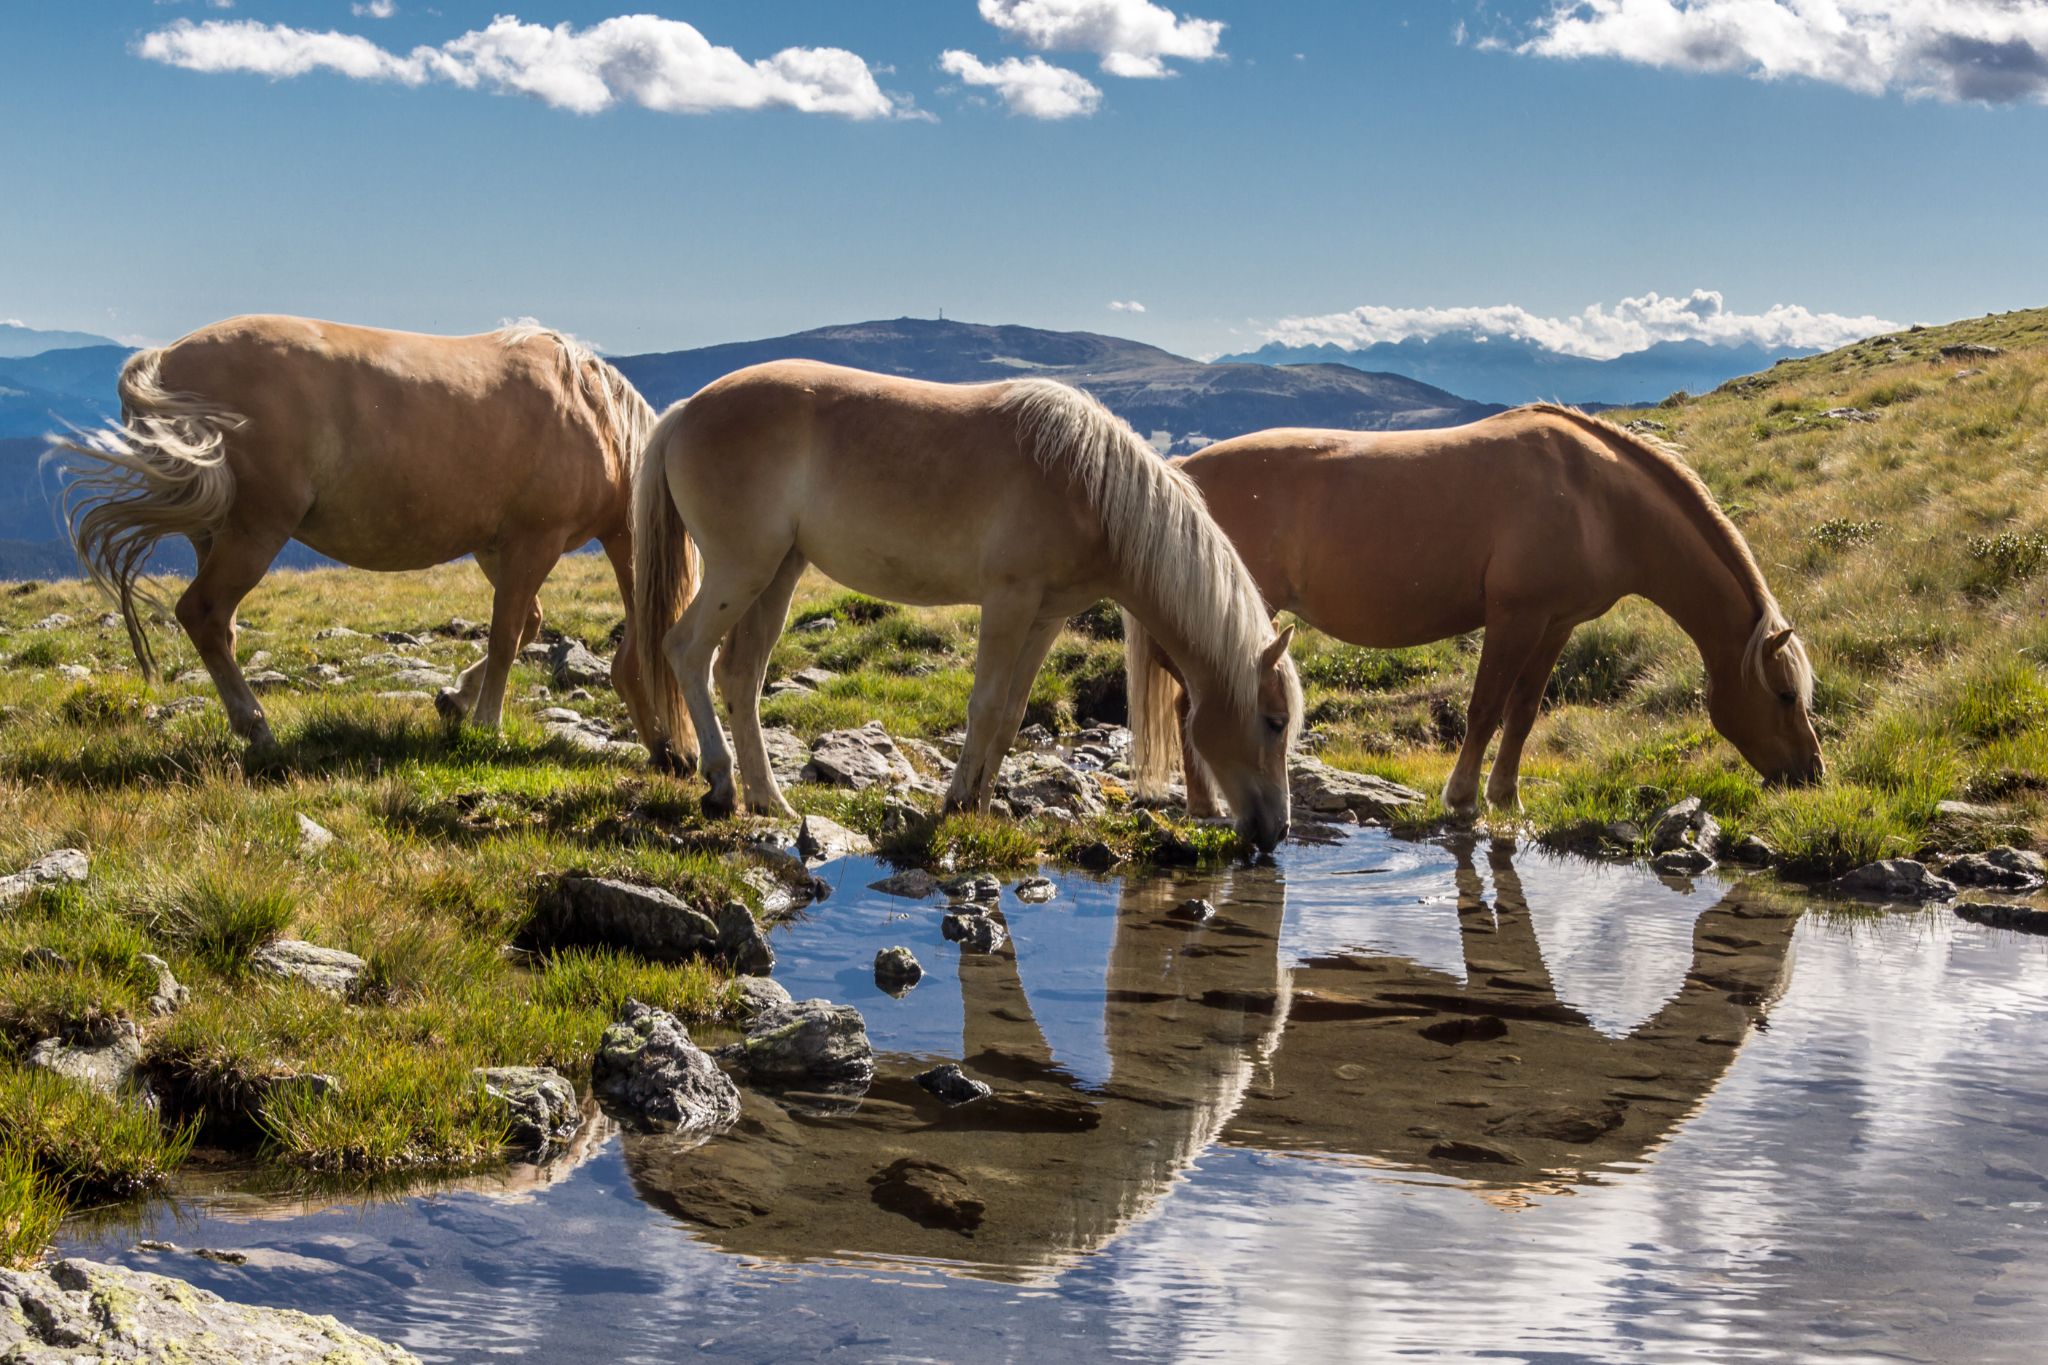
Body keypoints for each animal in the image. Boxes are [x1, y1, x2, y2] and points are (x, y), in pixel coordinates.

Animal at [50, 315, 688, 755]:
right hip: (255, 531)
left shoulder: (496, 547)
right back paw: (258, 729)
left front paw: (456, 699)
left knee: (219, 627)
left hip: (214, 534)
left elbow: (524, 624)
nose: (678, 760)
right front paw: (487, 725)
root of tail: (165, 359)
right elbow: (508, 634)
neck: (596, 416)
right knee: (203, 612)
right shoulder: (535, 541)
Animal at [628, 360, 1302, 852]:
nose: (1277, 832)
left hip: (778, 574)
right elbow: (983, 707)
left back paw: (768, 799)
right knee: (686, 652)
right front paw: (955, 802)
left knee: (739, 676)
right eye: (1274, 722)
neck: (1089, 486)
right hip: (740, 571)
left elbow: (1010, 716)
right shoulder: (1008, 600)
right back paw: (720, 785)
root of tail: (687, 410)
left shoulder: (1046, 615)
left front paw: (979, 806)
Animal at [1126, 404, 1822, 818]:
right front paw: (1462, 799)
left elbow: (1523, 712)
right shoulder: (1514, 617)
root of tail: (1181, 471)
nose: (1811, 773)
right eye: (1787, 696)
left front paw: (1506, 797)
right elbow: (1485, 707)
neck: (1595, 497)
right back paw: (1206, 807)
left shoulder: (1556, 623)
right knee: (1193, 705)